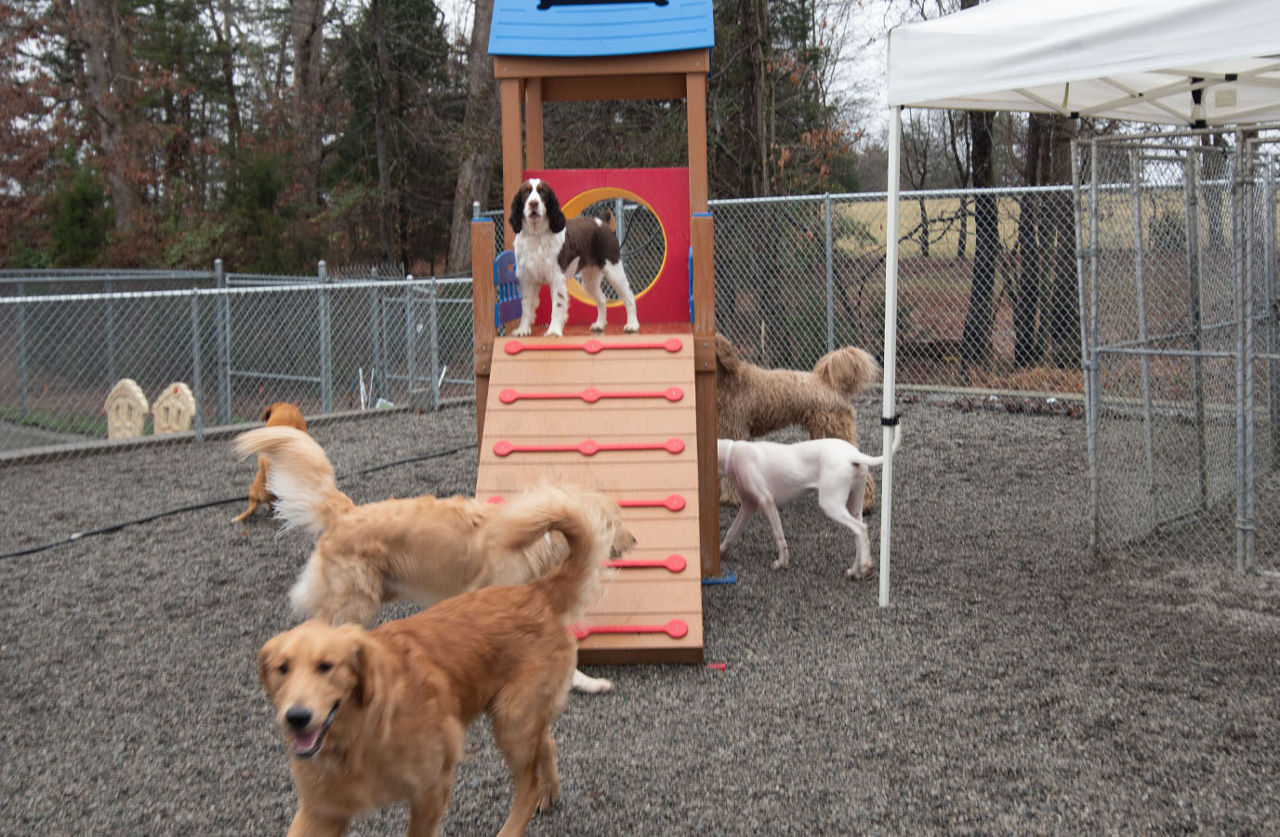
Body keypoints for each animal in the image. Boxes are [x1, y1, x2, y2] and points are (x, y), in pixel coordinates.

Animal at [257, 486, 606, 837]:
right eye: (282, 669)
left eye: (326, 666)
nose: (296, 717)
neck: (360, 732)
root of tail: (539, 592)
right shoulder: (322, 810)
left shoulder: (430, 787)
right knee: (543, 749)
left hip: (512, 719)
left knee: (530, 778)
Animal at [509, 176, 640, 337]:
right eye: (526, 192)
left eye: (542, 192)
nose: (533, 203)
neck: (536, 235)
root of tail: (601, 221)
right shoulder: (527, 278)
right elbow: (526, 305)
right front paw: (522, 329)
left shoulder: (556, 277)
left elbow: (557, 305)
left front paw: (553, 331)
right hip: (589, 279)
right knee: (602, 299)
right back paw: (600, 324)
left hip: (613, 269)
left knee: (629, 296)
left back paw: (632, 325)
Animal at [711, 335, 880, 511]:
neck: (728, 381)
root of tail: (829, 384)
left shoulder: (735, 433)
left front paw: (732, 498)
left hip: (834, 431)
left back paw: (865, 504)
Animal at [716, 427, 906, 583]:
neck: (731, 453)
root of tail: (852, 454)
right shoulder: (749, 505)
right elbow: (732, 532)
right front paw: (720, 551)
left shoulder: (766, 501)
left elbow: (779, 535)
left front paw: (782, 563)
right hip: (854, 505)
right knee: (859, 535)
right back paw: (855, 572)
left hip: (831, 504)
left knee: (861, 529)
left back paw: (866, 566)